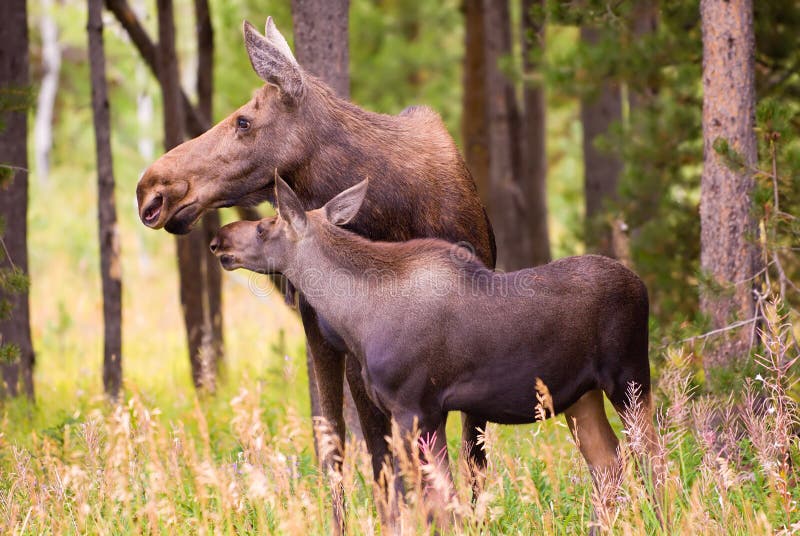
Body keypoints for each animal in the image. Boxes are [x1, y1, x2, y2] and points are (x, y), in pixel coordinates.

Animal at [138, 16, 496, 532]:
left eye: (243, 121)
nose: (152, 190)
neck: (393, 215)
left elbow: (471, 457)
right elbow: (381, 456)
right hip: (324, 342)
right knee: (342, 447)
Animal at [209, 175, 660, 524]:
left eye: (266, 226)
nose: (218, 239)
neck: (357, 315)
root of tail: (642, 287)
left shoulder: (415, 408)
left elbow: (433, 502)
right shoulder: (423, 414)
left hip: (629, 376)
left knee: (653, 458)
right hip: (581, 397)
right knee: (609, 465)